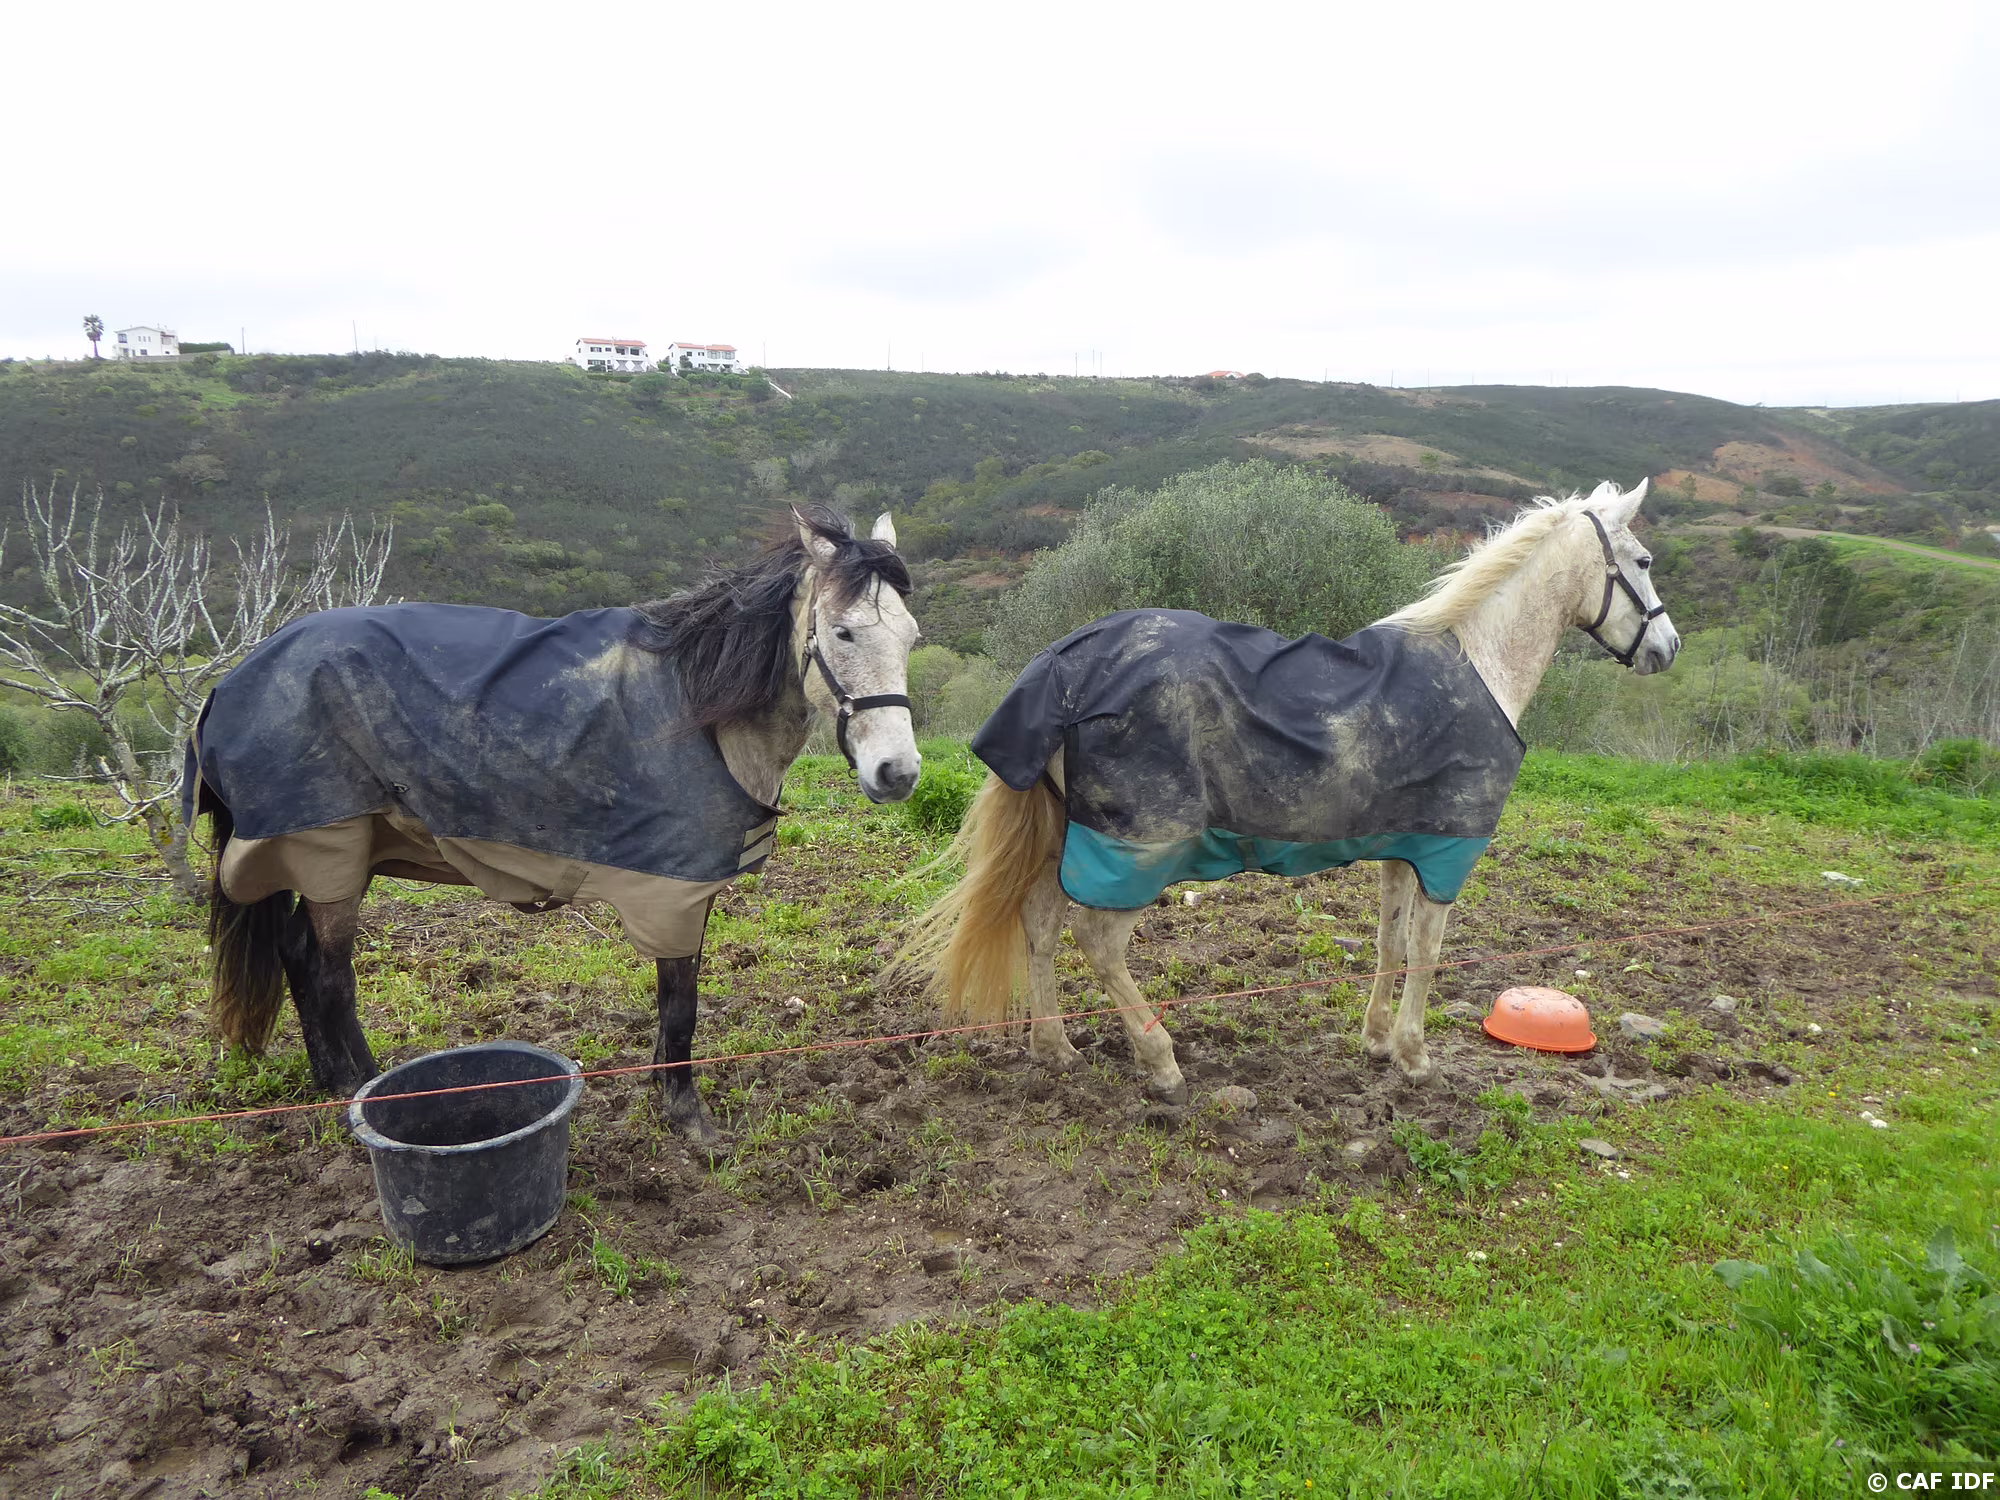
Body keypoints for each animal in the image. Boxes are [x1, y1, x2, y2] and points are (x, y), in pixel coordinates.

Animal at [189, 506, 921, 1145]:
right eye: (843, 632)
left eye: (912, 638)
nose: (898, 772)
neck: (699, 713)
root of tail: (233, 682)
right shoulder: (673, 893)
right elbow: (681, 1004)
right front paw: (688, 1117)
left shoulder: (686, 891)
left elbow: (672, 1006)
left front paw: (664, 1096)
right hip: (326, 847)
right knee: (333, 974)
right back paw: (364, 1092)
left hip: (325, 855)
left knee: (297, 954)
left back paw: (328, 1081)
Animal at [897, 479, 1678, 1101]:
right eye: (1642, 562)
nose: (1667, 649)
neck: (1477, 666)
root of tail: (1062, 664)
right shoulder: (1448, 852)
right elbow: (1427, 952)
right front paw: (1415, 1056)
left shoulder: (1406, 847)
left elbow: (1390, 942)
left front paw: (1376, 1040)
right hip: (1137, 846)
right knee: (1097, 938)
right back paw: (1160, 1060)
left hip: (1076, 834)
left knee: (1040, 923)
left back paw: (1053, 1046)